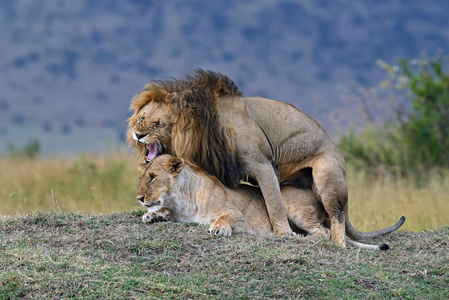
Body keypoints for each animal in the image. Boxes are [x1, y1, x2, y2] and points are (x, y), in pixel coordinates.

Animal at [126, 69, 374, 245]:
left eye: (158, 124)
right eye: (141, 118)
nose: (138, 135)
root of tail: (337, 149)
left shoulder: (262, 164)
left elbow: (273, 204)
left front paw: (283, 234)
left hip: (326, 177)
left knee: (335, 219)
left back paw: (335, 242)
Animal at [136, 156, 402, 250]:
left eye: (153, 177)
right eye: (142, 177)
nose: (139, 198)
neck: (182, 198)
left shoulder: (236, 212)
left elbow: (226, 217)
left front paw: (219, 228)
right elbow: (165, 212)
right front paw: (153, 215)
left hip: (292, 207)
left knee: (325, 233)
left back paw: (297, 237)